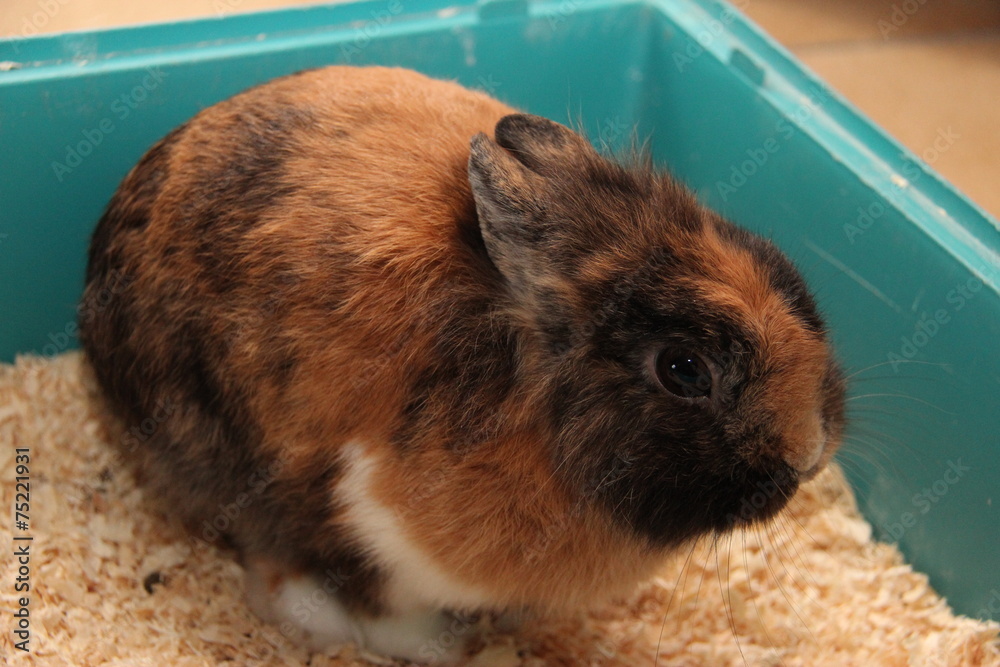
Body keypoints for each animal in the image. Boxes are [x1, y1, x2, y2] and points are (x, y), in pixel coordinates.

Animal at [79, 65, 846, 663]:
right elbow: (379, 606)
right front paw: (446, 649)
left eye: (779, 265)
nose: (811, 455)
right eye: (684, 369)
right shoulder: (365, 527)